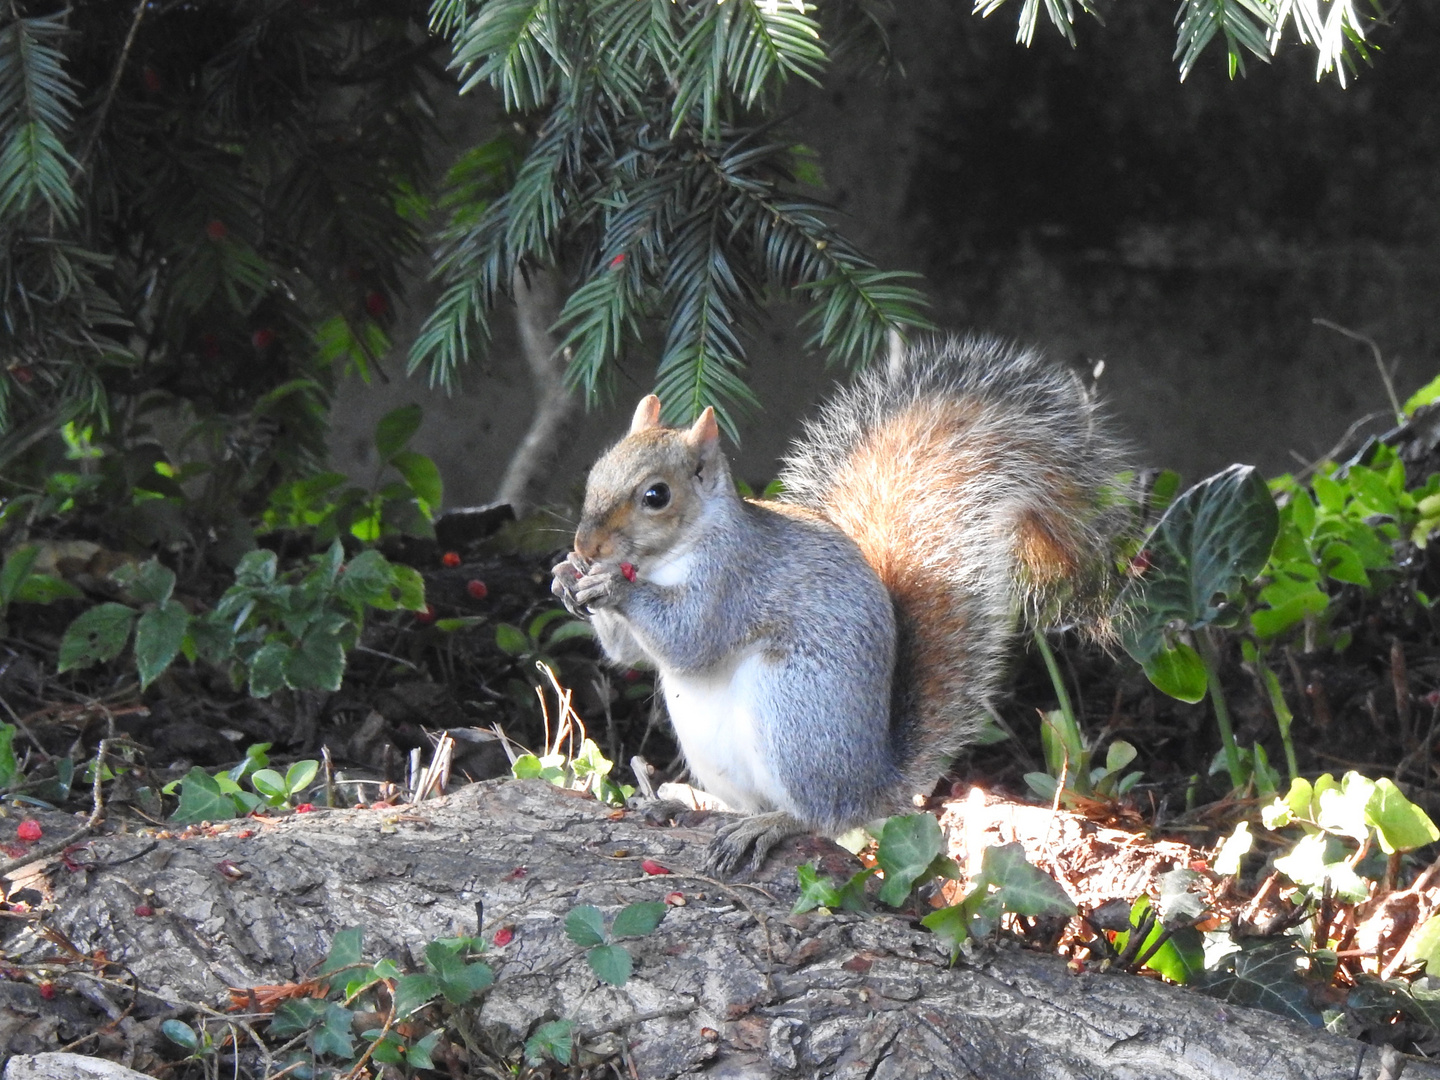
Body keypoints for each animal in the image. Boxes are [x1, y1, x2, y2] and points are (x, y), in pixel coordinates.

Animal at [550, 334, 1123, 875]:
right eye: (595, 472)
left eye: (656, 496)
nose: (585, 546)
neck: (665, 558)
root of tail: (874, 785)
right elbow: (627, 657)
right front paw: (566, 576)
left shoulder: (733, 579)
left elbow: (690, 639)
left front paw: (615, 588)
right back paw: (687, 803)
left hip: (795, 713)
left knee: (820, 817)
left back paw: (769, 825)